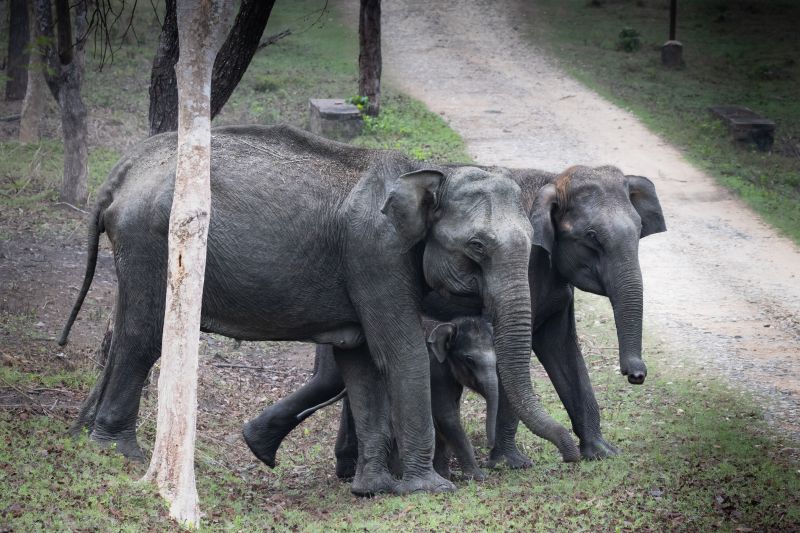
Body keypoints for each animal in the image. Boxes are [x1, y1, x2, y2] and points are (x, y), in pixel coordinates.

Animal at [242, 316, 500, 482]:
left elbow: (444, 416)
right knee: (326, 384)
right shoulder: (436, 372)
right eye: (469, 359)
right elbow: (446, 416)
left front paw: (446, 475)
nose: (490, 449)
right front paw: (477, 477)